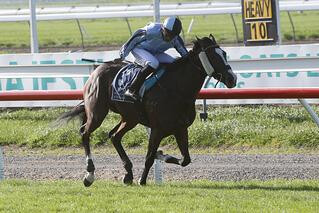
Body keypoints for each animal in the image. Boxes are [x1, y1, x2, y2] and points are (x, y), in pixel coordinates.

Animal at [57, 35, 238, 186]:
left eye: (224, 53)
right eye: (214, 56)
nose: (232, 78)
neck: (177, 90)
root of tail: (97, 69)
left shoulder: (180, 128)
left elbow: (185, 159)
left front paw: (161, 155)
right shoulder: (157, 129)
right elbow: (149, 157)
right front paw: (142, 180)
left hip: (130, 118)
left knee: (115, 136)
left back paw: (128, 174)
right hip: (97, 112)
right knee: (85, 132)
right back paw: (90, 174)